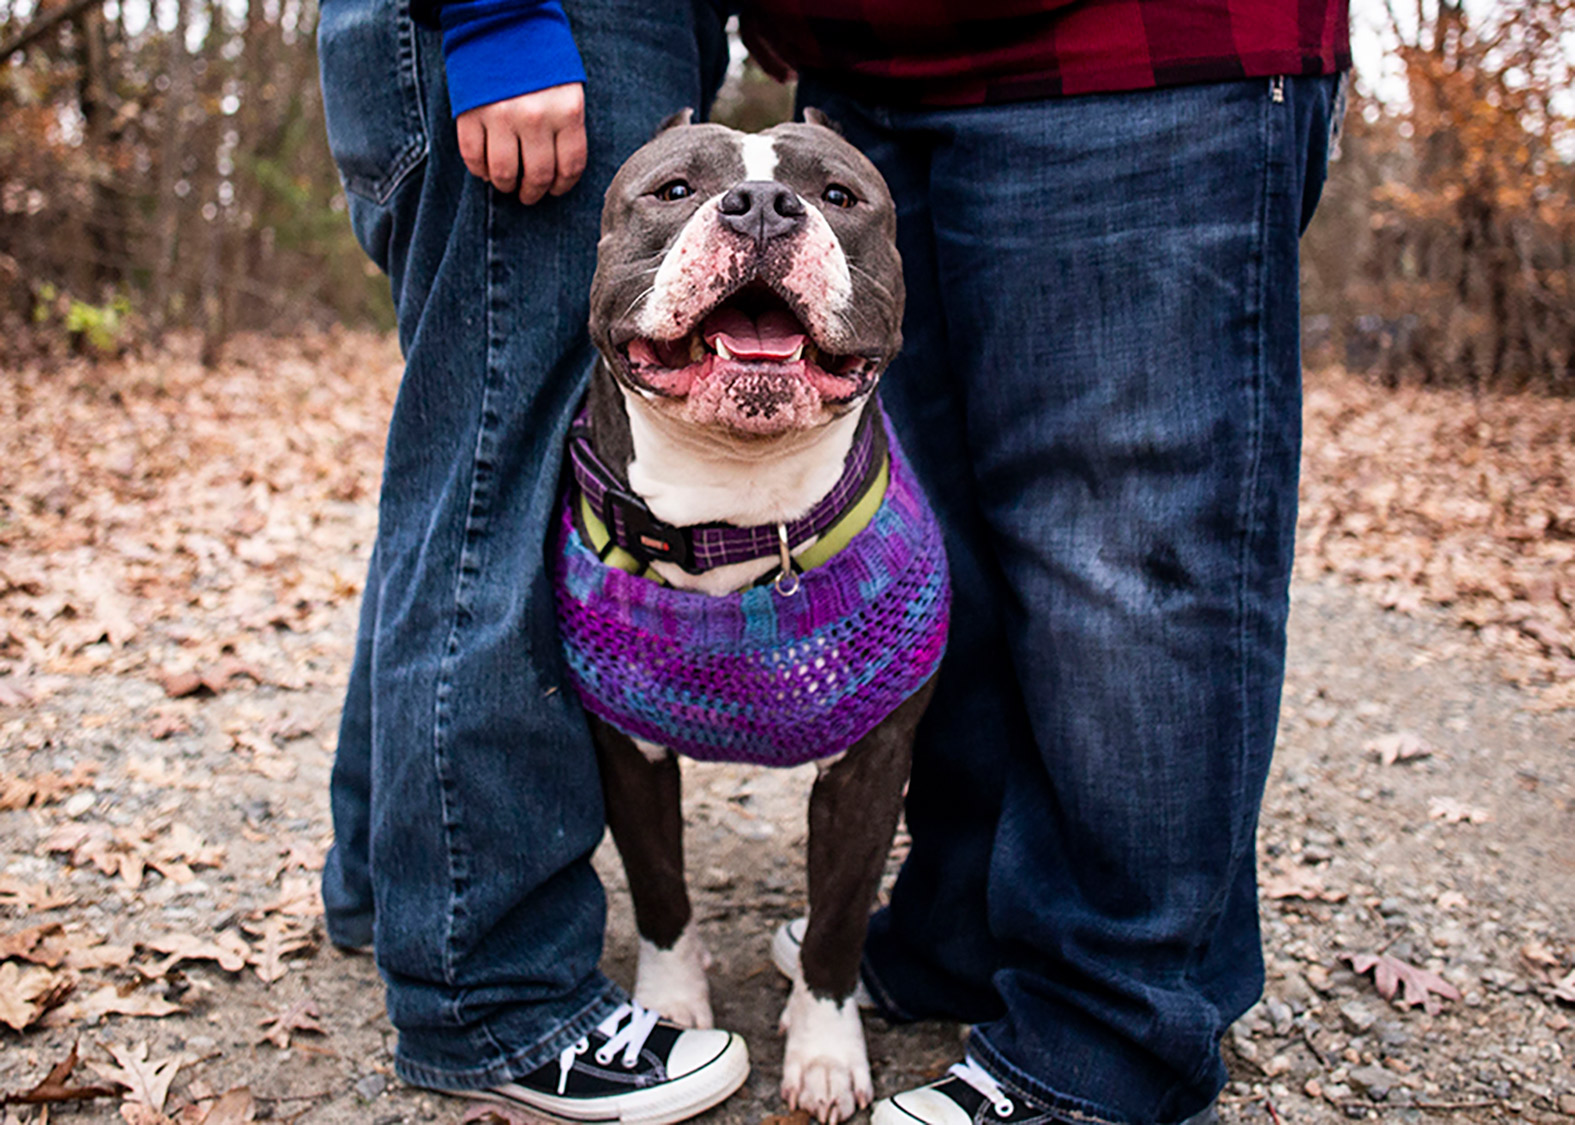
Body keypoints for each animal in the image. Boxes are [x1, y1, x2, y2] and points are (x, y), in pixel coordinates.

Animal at [553, 109, 948, 1125]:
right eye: (673, 190)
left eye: (839, 195)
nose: (764, 204)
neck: (735, 512)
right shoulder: (626, 750)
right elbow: (659, 888)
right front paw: (666, 1006)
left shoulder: (871, 765)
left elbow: (839, 921)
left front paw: (824, 1052)